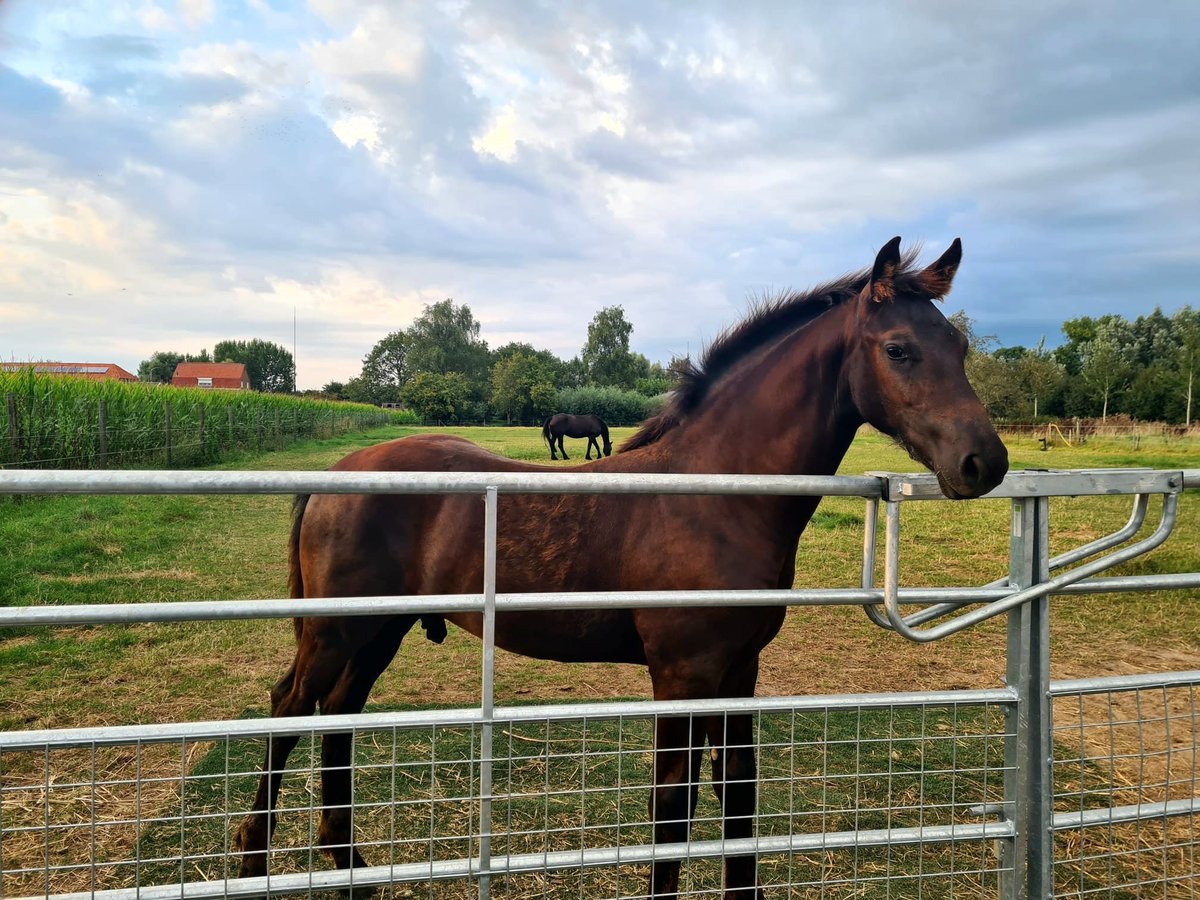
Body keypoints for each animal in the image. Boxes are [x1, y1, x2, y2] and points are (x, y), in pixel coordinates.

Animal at [231, 240, 1003, 900]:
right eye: (898, 349)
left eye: (961, 347)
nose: (983, 463)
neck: (717, 493)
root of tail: (338, 473)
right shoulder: (682, 675)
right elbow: (671, 810)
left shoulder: (739, 671)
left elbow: (739, 800)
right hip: (336, 631)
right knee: (289, 708)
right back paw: (250, 860)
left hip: (375, 633)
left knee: (339, 716)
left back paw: (348, 864)